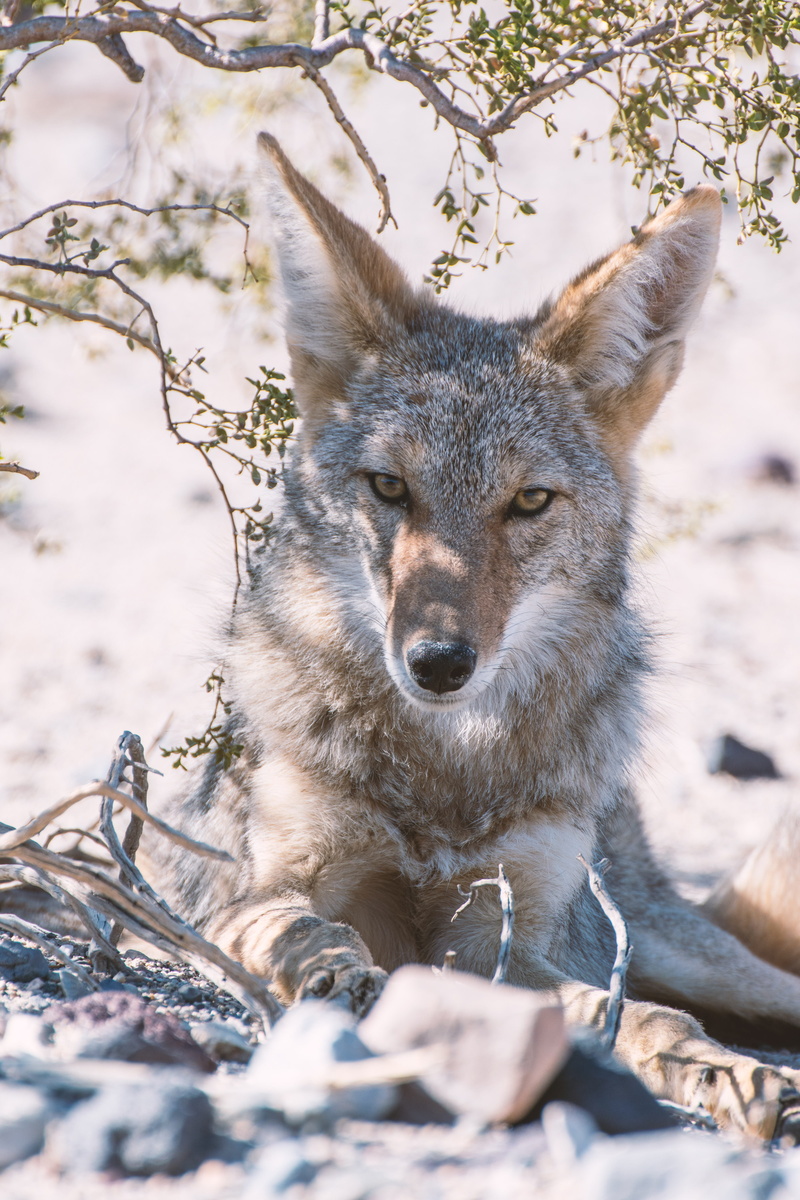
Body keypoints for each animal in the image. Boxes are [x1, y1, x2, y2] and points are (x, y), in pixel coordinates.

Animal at [155, 132, 800, 1141]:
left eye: (528, 501)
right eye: (390, 489)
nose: (438, 663)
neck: (444, 774)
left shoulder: (499, 935)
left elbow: (636, 1015)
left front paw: (716, 1070)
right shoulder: (260, 889)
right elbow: (291, 927)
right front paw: (332, 974)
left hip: (703, 959)